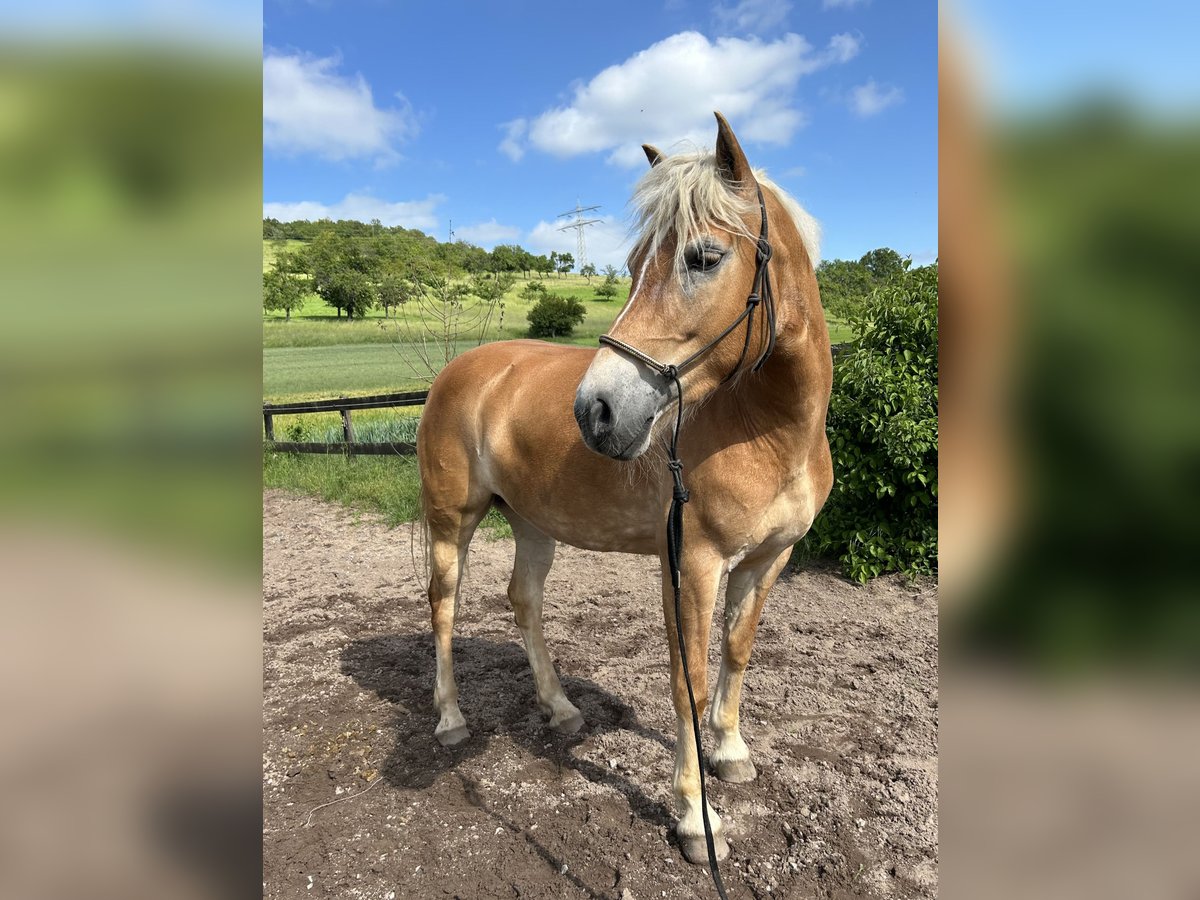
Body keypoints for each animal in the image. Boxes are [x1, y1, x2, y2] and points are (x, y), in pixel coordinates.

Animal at [417, 112, 830, 868]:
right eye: (634, 266)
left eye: (703, 257)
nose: (596, 411)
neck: (768, 431)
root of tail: (462, 371)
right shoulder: (691, 564)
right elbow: (686, 679)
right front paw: (696, 817)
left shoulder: (767, 561)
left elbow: (736, 651)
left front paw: (731, 752)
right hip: (451, 520)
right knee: (444, 607)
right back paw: (452, 720)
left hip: (532, 522)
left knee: (523, 601)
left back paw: (559, 709)